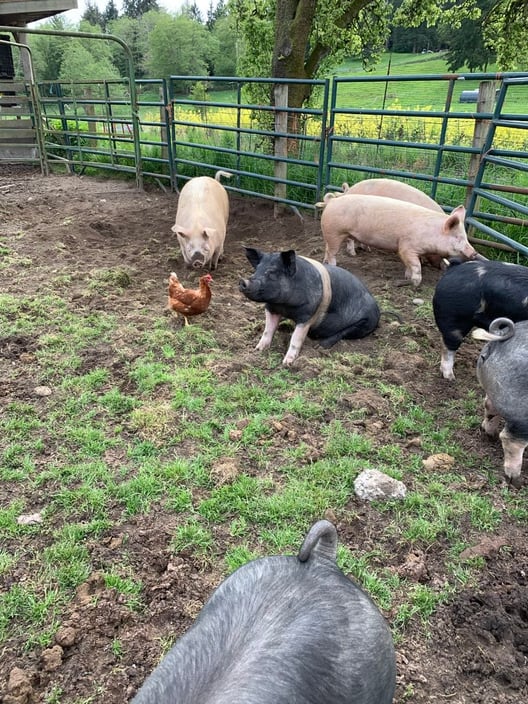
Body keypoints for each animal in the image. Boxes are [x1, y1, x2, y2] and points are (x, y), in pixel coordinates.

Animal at [239, 247, 380, 366]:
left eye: (271, 272)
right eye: (256, 270)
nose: (242, 281)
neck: (284, 306)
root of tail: (378, 311)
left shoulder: (307, 314)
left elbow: (296, 338)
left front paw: (287, 363)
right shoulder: (271, 308)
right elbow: (268, 330)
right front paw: (258, 349)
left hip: (364, 323)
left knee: (342, 333)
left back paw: (319, 347)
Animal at [321, 193, 481, 286]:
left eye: (465, 237)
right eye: (458, 237)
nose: (474, 253)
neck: (430, 233)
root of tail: (332, 201)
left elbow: (409, 265)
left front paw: (407, 277)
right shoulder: (407, 247)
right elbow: (416, 265)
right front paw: (416, 283)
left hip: (332, 234)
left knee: (327, 249)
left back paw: (326, 263)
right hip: (334, 232)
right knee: (332, 251)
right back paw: (334, 265)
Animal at [472, 317, 528, 486]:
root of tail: (500, 340)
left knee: (489, 405)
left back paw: (489, 434)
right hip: (521, 412)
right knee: (510, 439)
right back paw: (516, 481)